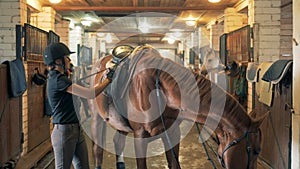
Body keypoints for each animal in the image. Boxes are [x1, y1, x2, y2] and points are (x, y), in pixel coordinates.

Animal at [89, 45, 268, 168]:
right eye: (256, 150)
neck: (159, 89)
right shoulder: (140, 136)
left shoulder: (172, 133)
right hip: (97, 119)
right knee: (97, 151)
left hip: (121, 125)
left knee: (117, 142)